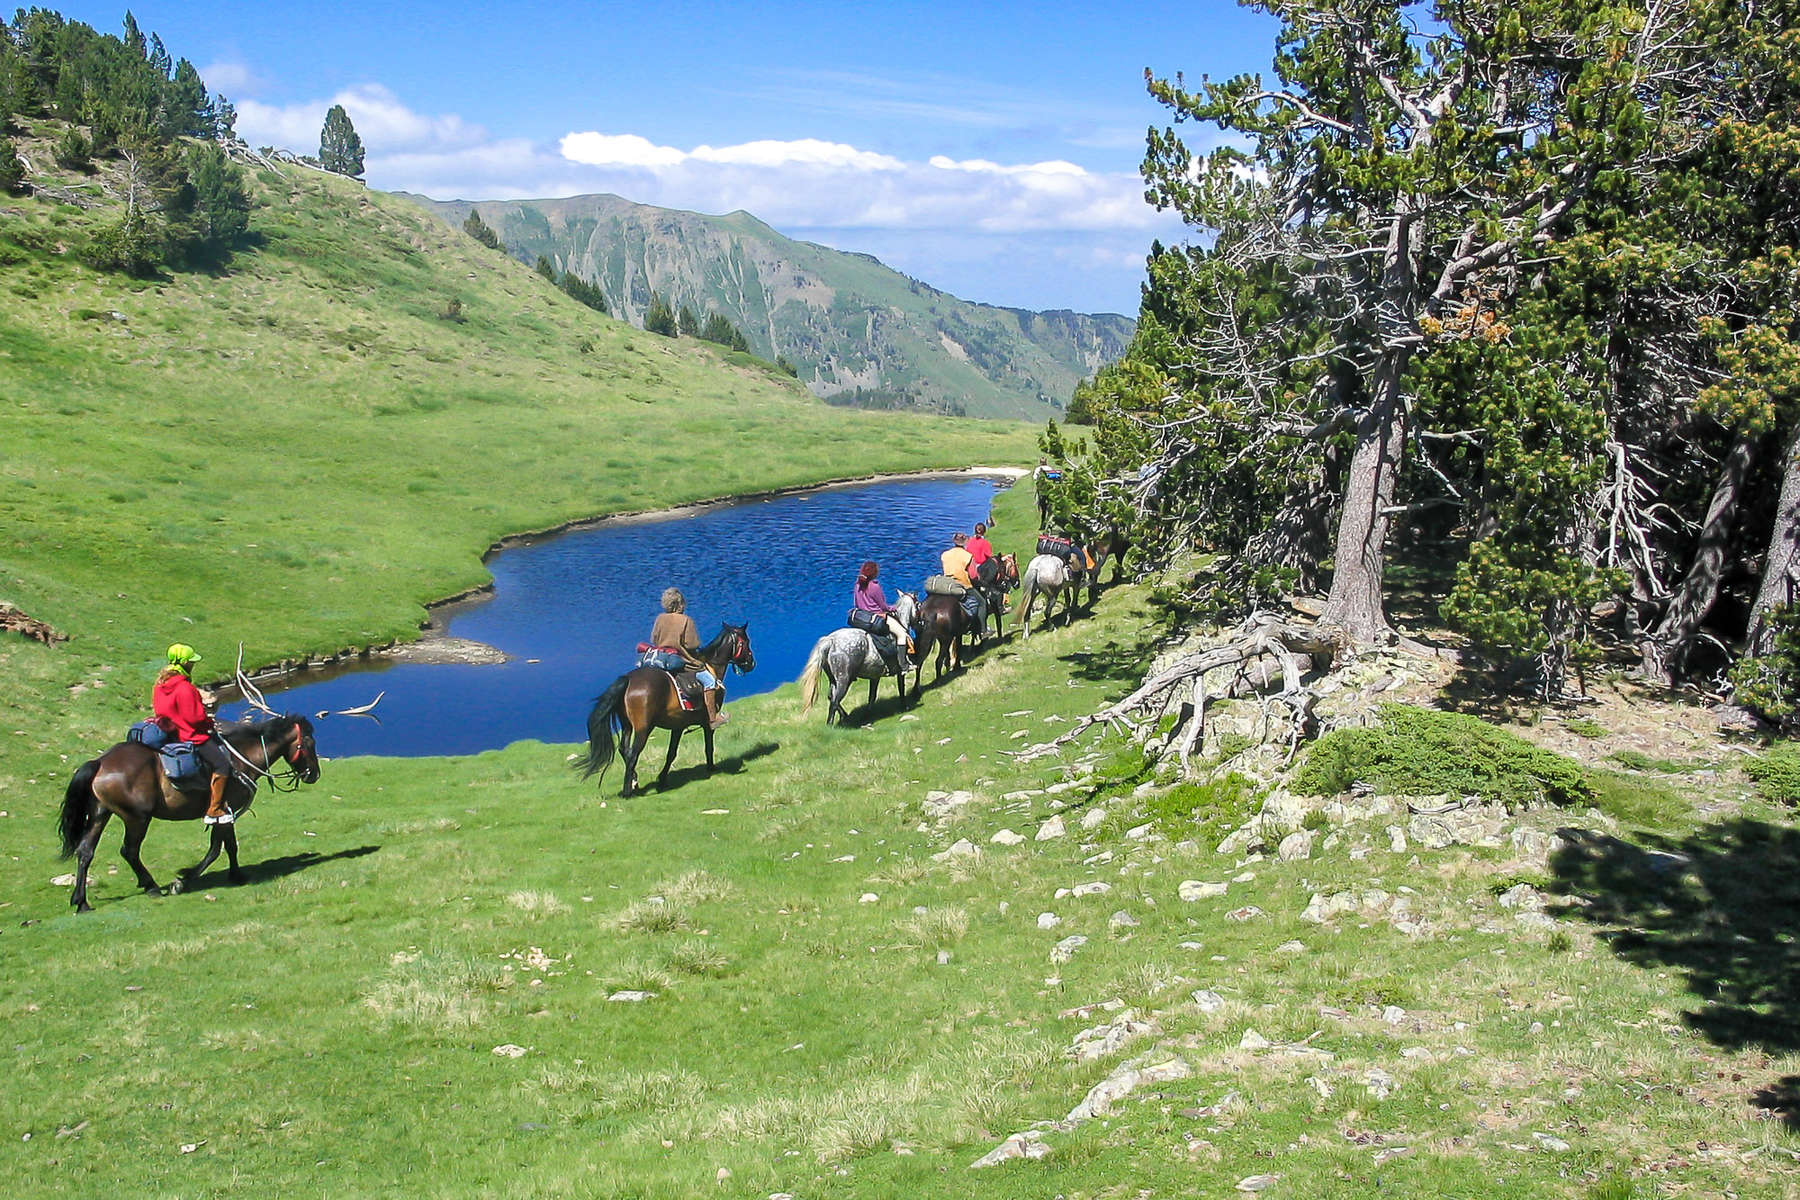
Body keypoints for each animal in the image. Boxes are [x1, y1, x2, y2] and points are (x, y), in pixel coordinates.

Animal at [56, 712, 322, 910]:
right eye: (310, 743)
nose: (314, 775)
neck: (241, 757)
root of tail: (100, 763)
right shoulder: (225, 812)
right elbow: (219, 848)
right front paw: (186, 879)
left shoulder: (222, 814)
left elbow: (225, 846)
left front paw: (233, 875)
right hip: (137, 819)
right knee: (129, 851)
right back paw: (151, 886)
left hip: (100, 814)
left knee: (85, 851)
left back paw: (81, 901)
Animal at [579, 626, 756, 802]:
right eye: (746, 641)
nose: (751, 663)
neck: (711, 667)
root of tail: (628, 680)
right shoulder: (707, 723)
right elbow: (708, 747)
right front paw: (711, 768)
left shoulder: (678, 726)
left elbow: (671, 753)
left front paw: (662, 778)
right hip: (644, 728)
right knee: (633, 754)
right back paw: (627, 791)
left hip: (627, 725)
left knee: (624, 749)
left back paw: (634, 780)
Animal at [799, 590, 921, 723]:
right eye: (918, 605)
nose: (922, 622)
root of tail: (830, 641)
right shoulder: (899, 672)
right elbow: (901, 689)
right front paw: (904, 707)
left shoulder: (875, 676)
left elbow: (872, 696)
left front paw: (868, 716)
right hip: (843, 680)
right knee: (835, 701)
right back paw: (831, 724)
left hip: (833, 679)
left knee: (831, 697)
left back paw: (845, 716)